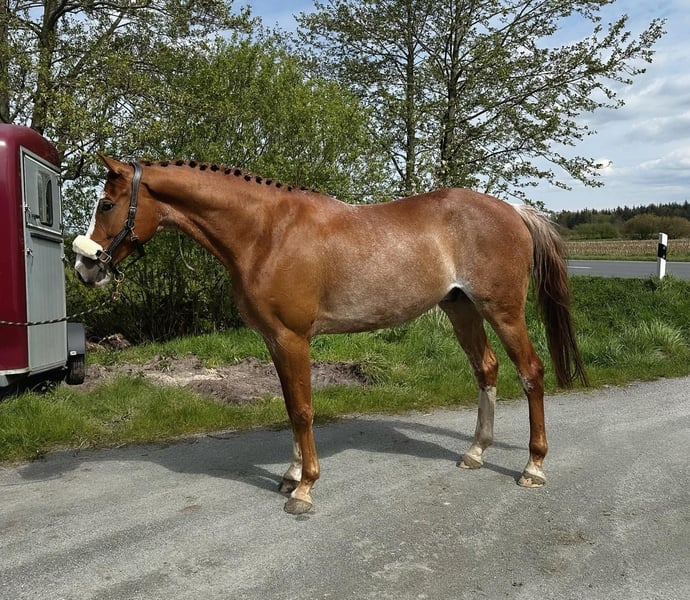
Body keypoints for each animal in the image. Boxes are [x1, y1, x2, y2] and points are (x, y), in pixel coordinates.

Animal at [73, 155, 588, 514]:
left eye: (105, 204)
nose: (84, 268)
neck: (267, 232)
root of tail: (513, 210)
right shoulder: (274, 340)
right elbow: (289, 406)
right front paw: (291, 473)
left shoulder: (293, 338)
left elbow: (303, 410)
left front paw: (304, 489)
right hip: (461, 309)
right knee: (487, 370)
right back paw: (475, 452)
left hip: (503, 312)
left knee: (530, 372)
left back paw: (533, 466)